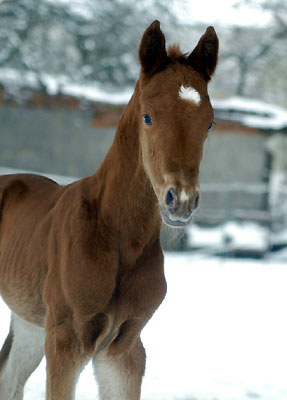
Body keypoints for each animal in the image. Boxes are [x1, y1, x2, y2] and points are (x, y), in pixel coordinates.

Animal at [0, 21, 218, 400]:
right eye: (148, 116)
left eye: (208, 123)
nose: (181, 201)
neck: (116, 239)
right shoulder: (65, 342)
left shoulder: (124, 351)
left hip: (28, 320)